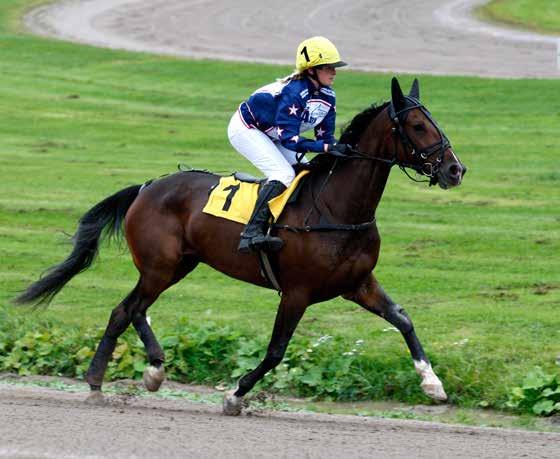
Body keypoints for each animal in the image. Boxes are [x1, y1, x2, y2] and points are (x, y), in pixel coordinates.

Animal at [15, 77, 466, 416]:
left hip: (180, 264)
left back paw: (99, 381)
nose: (454, 169)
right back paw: (152, 370)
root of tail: (147, 186)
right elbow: (276, 351)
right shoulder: (297, 292)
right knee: (134, 308)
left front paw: (433, 384)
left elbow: (403, 319)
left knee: (123, 310)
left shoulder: (358, 284)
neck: (337, 207)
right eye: (417, 125)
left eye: (433, 120)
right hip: (161, 266)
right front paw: (234, 395)